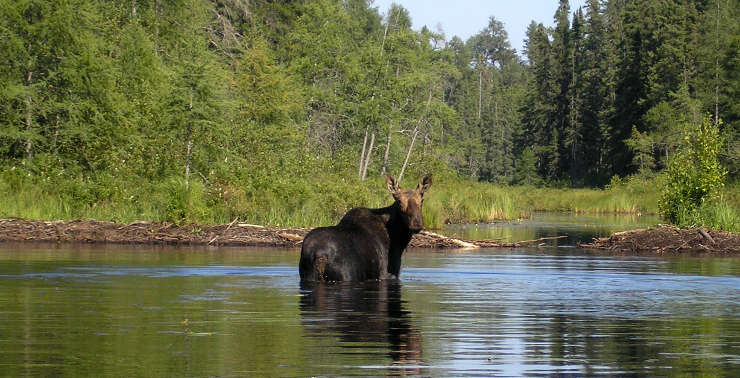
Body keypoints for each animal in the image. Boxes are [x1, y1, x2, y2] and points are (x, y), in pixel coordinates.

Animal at [298, 173, 430, 282]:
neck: (399, 241)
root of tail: (319, 255)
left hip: (308, 275)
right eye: (398, 201)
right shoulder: (386, 274)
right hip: (347, 275)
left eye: (422, 200)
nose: (416, 223)